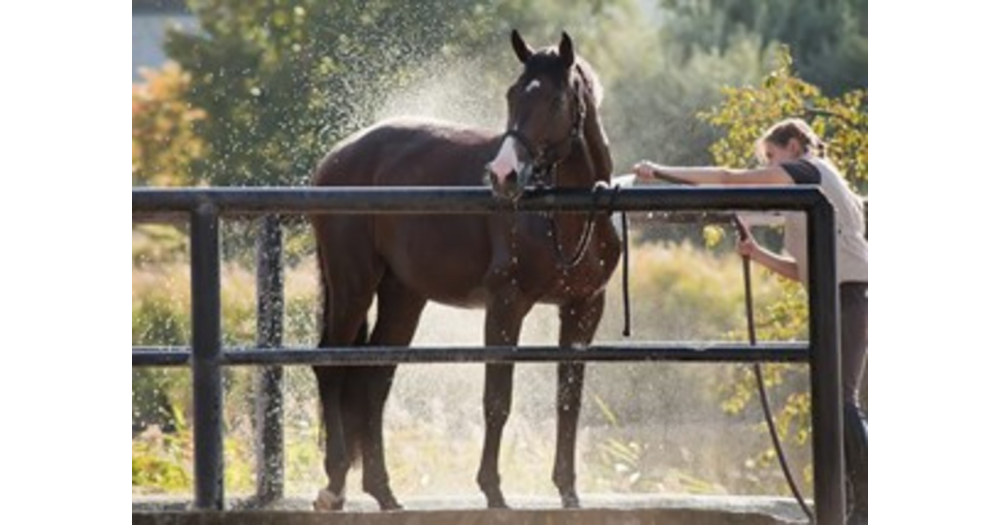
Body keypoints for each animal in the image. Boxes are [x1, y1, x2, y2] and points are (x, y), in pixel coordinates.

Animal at [310, 30, 621, 511]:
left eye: (555, 99)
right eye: (512, 93)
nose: (503, 174)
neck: (563, 214)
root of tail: (337, 158)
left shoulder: (583, 308)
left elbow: (568, 399)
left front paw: (568, 492)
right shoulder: (506, 305)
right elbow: (497, 399)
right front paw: (493, 491)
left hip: (403, 296)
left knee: (374, 378)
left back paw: (384, 492)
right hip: (352, 286)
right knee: (331, 365)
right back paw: (335, 484)